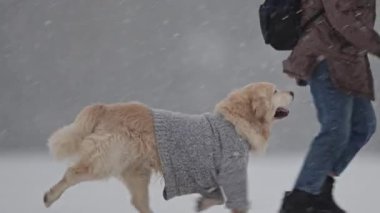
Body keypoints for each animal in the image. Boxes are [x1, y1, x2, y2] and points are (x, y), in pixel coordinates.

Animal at [43, 82, 294, 213]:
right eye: (275, 91)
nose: (292, 91)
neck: (235, 122)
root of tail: (106, 108)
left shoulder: (210, 176)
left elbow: (216, 196)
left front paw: (203, 203)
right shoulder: (233, 170)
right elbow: (235, 199)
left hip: (136, 171)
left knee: (139, 202)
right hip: (108, 159)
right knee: (72, 173)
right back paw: (50, 196)